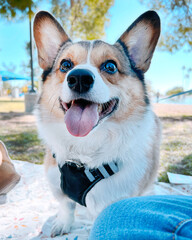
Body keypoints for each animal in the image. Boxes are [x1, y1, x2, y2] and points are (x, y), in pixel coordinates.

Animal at [33, 10, 161, 235]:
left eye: (110, 66)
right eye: (65, 65)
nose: (79, 78)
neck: (85, 146)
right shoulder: (58, 186)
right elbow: (66, 205)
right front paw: (63, 223)